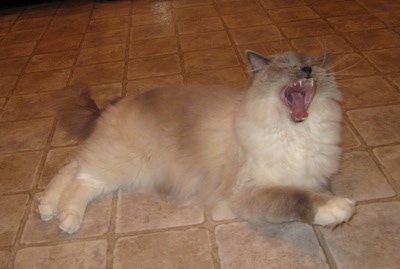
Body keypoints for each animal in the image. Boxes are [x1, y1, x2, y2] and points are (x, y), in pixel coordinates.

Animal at [38, 49, 356, 232]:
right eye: (288, 66)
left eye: (311, 66)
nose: (307, 71)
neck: (297, 131)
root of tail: (118, 102)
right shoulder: (250, 190)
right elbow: (296, 199)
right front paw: (338, 209)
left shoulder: (310, 176)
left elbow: (309, 190)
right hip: (122, 163)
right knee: (82, 178)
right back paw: (66, 219)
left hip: (128, 168)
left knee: (73, 170)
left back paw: (47, 208)